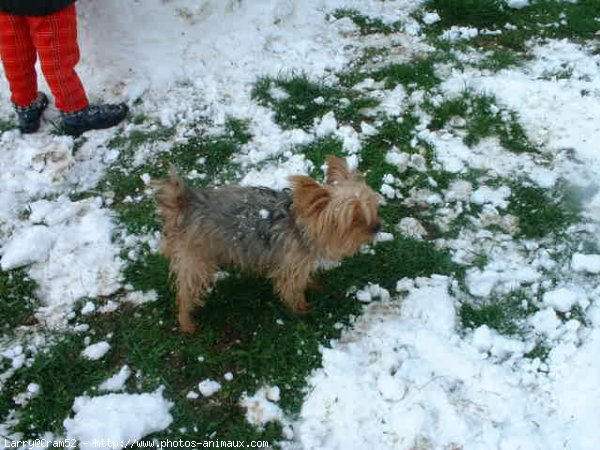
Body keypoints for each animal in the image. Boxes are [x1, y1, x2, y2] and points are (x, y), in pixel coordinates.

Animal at [155, 156, 380, 334]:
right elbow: (292, 290)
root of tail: (185, 203)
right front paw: (302, 309)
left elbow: (305, 278)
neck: (300, 225)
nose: (378, 226)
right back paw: (187, 323)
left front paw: (314, 284)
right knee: (185, 293)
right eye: (354, 218)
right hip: (195, 260)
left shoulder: (300, 262)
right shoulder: (290, 266)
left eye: (371, 206)